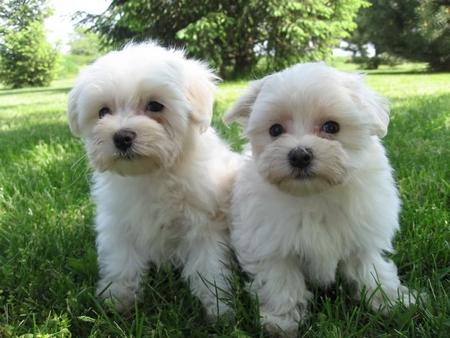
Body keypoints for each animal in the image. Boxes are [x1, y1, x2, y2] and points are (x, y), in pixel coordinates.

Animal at [67, 41, 241, 318]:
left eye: (155, 106)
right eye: (103, 112)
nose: (122, 137)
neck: (152, 174)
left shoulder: (205, 224)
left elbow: (208, 266)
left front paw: (217, 307)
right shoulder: (119, 222)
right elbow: (122, 259)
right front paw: (118, 298)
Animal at [223, 62, 416, 336]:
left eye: (331, 127)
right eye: (275, 130)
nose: (299, 155)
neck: (314, 195)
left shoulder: (362, 237)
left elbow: (371, 270)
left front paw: (392, 302)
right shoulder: (270, 243)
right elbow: (281, 281)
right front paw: (282, 320)